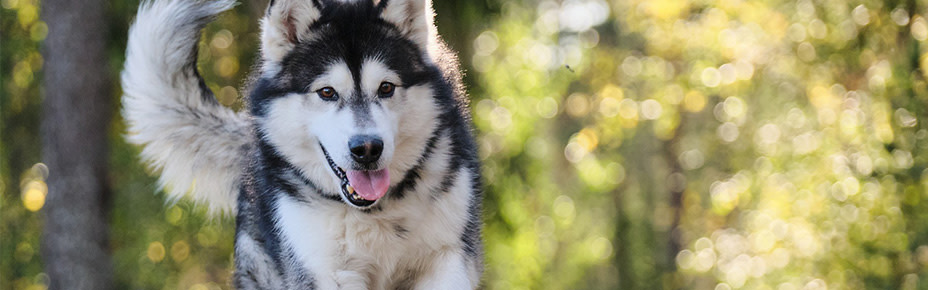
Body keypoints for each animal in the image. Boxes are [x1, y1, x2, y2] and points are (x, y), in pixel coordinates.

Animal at [121, 0, 486, 288]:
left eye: (386, 88)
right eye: (327, 92)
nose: (367, 149)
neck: (375, 214)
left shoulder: (446, 257)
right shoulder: (327, 271)